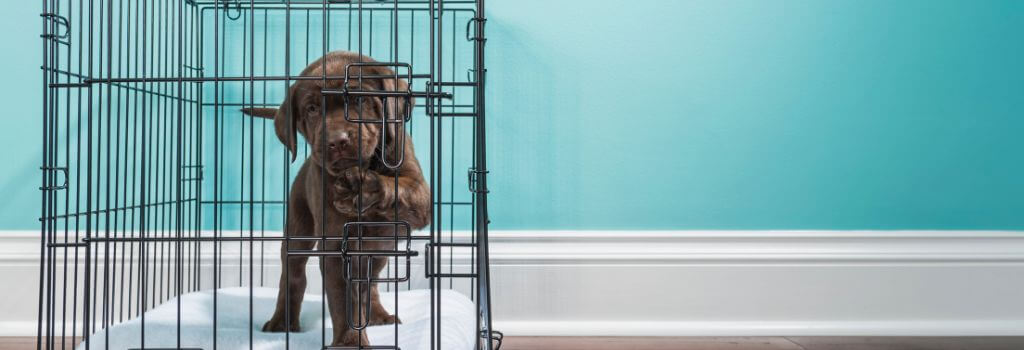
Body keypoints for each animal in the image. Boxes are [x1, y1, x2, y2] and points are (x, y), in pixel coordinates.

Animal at [241, 50, 430, 345]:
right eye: (311, 109)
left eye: (359, 99)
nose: (337, 140)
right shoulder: (334, 245)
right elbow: (344, 300)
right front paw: (350, 342)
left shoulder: (419, 194)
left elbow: (400, 188)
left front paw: (362, 188)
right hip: (298, 225)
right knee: (293, 274)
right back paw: (282, 322)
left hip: (382, 248)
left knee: (371, 283)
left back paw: (377, 315)